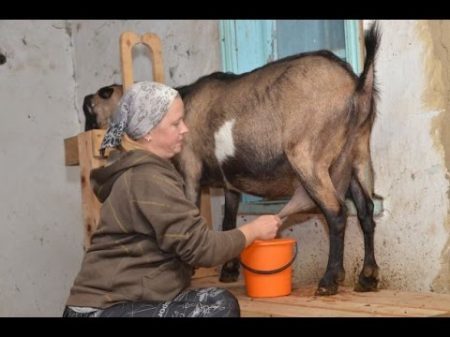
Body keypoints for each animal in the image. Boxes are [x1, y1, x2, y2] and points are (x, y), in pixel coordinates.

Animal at [83, 23, 380, 296]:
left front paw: (191, 270)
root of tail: (355, 85)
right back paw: (367, 277)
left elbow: (193, 212)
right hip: (356, 156)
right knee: (366, 210)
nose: (88, 132)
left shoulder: (190, 169)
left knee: (336, 211)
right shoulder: (231, 183)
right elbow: (228, 221)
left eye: (93, 104)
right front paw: (228, 270)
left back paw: (329, 280)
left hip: (309, 157)